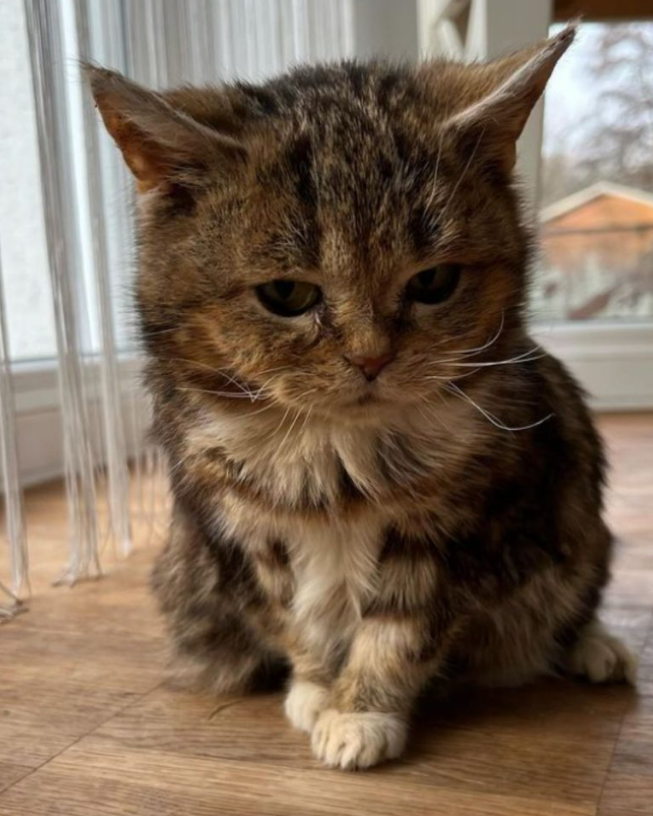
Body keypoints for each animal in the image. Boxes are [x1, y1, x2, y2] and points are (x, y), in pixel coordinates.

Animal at [85, 22, 636, 768]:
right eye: (286, 294)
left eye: (433, 282)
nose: (372, 357)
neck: (332, 449)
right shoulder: (248, 532)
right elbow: (293, 616)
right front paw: (318, 688)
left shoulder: (457, 525)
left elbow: (400, 626)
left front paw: (360, 710)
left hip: (577, 517)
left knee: (574, 593)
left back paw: (594, 646)